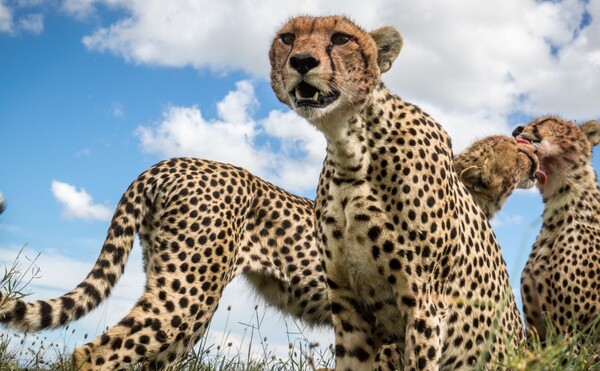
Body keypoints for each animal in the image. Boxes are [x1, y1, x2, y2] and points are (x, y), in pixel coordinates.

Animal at [270, 15, 524, 371]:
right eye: (287, 38)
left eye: (342, 38)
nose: (302, 61)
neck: (351, 153)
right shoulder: (347, 305)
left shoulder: (424, 303)